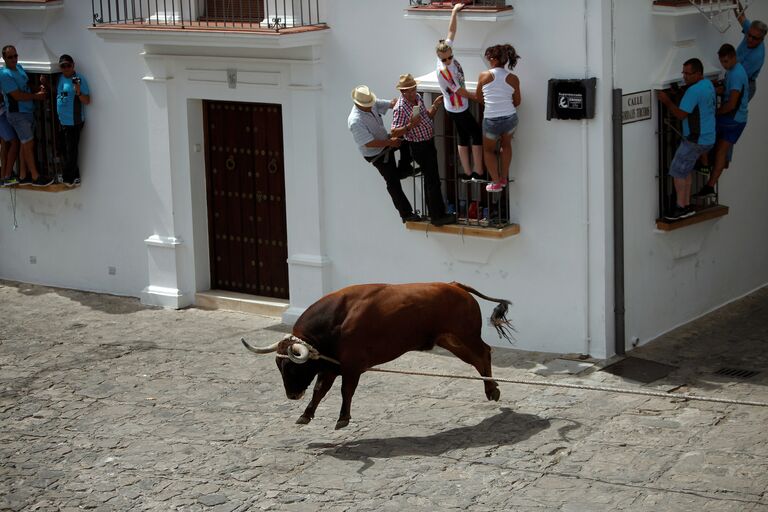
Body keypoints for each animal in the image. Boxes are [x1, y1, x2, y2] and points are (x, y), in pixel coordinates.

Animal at [243, 282, 512, 430]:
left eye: (293, 367)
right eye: (278, 366)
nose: (292, 395)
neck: (337, 319)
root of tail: (455, 285)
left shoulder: (352, 366)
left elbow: (346, 391)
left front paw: (343, 418)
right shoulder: (330, 366)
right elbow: (320, 391)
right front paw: (306, 415)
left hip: (465, 335)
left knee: (484, 353)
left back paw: (492, 390)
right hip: (450, 339)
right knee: (478, 359)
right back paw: (493, 390)